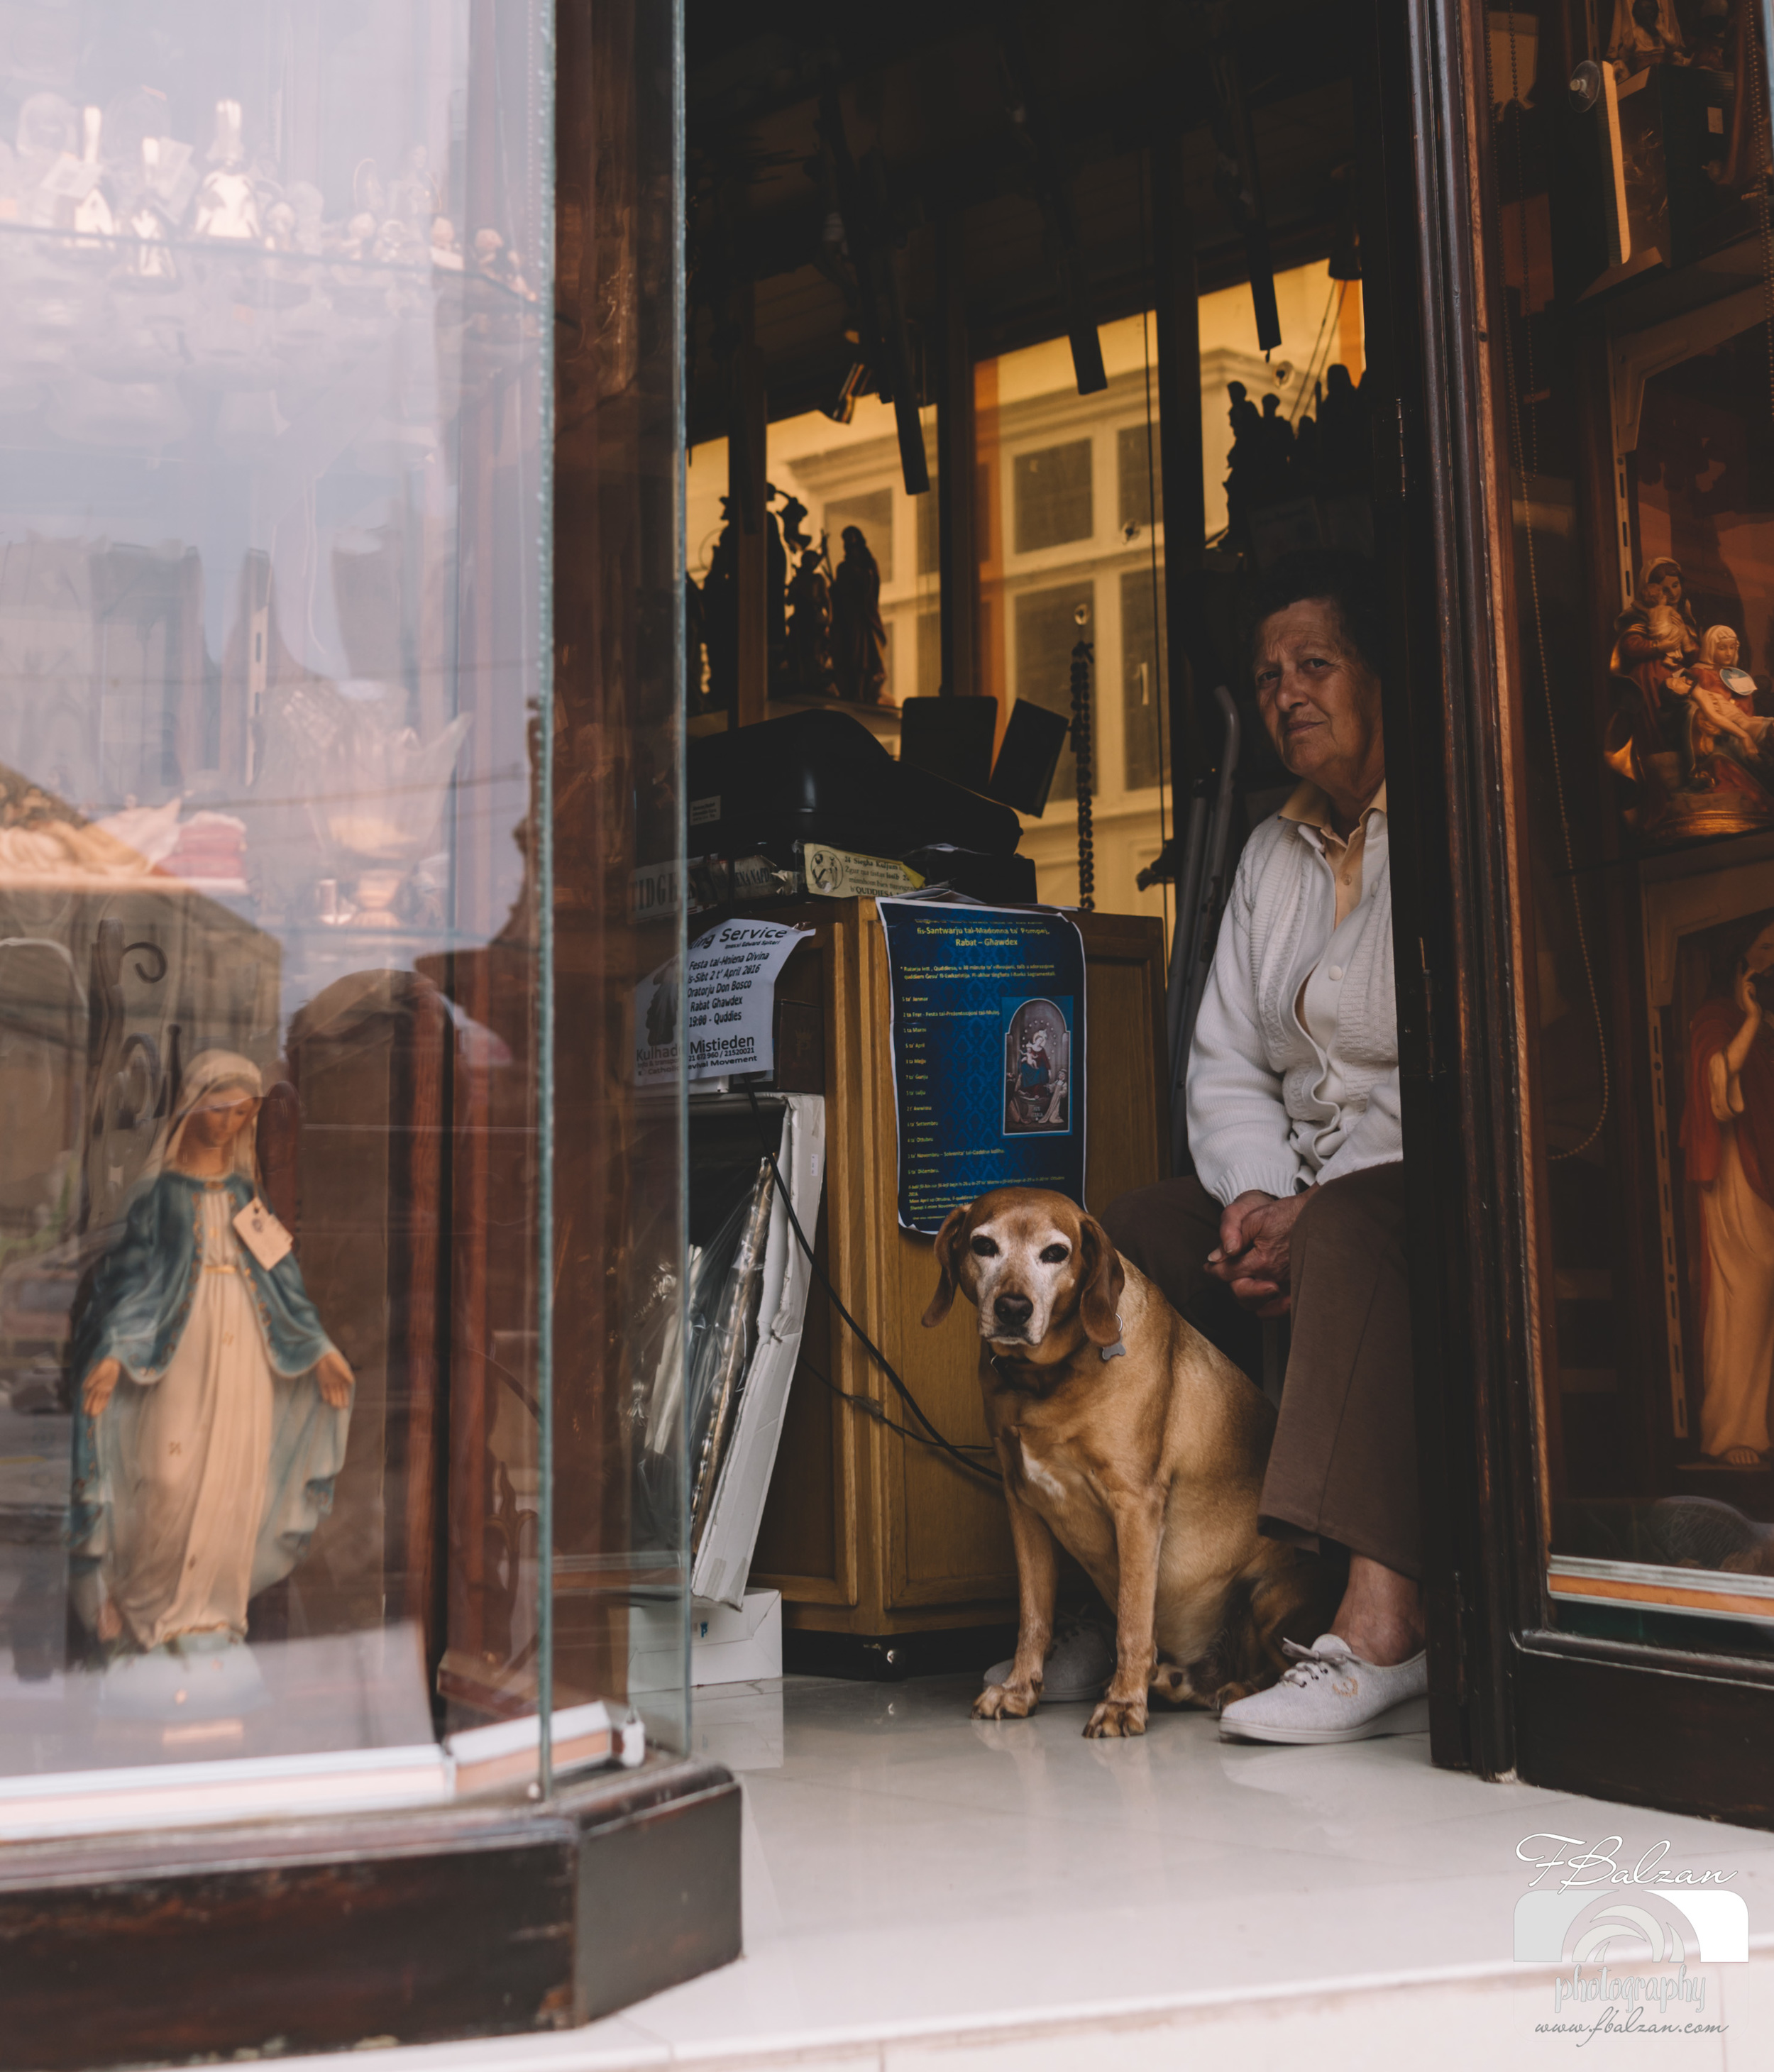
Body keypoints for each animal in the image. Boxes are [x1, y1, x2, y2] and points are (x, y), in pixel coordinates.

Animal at [928, 1185, 1326, 1732]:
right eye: (983, 1246)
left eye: (1056, 1253)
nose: (1012, 1308)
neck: (1045, 1381)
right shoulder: (1024, 1506)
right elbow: (1034, 1617)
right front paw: (1018, 1689)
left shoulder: (1135, 1506)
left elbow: (1134, 1622)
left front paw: (1122, 1703)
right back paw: (1177, 1682)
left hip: (1267, 1597)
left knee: (1276, 1665)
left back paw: (1232, 1691)